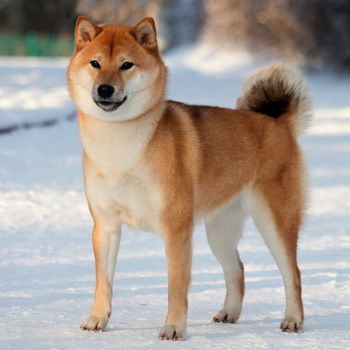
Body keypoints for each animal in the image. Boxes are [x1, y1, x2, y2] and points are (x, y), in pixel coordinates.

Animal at [67, 15, 312, 340]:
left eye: (126, 65)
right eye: (95, 63)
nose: (105, 89)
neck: (120, 147)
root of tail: (277, 122)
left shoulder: (176, 229)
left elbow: (176, 286)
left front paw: (173, 327)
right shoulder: (105, 226)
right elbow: (103, 282)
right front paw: (97, 319)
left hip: (275, 221)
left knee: (292, 272)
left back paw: (293, 320)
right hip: (219, 231)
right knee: (238, 270)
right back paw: (229, 313)